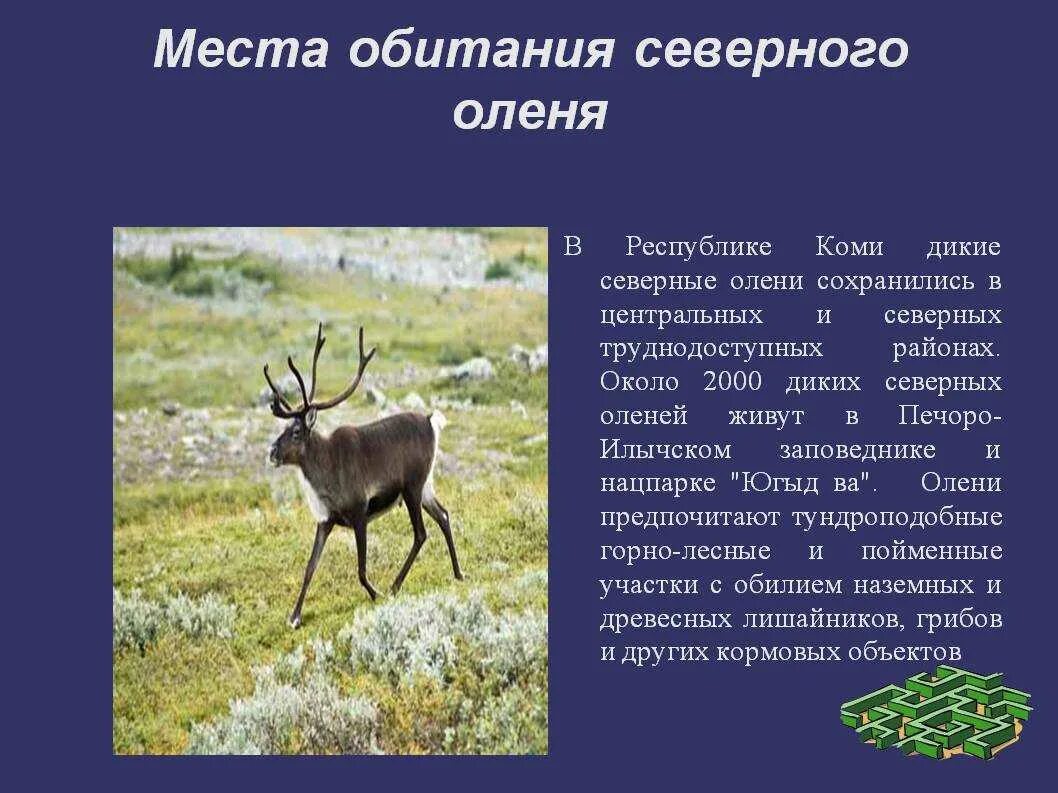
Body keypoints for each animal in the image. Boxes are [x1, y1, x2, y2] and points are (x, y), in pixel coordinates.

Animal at [263, 323, 463, 629]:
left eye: (296, 432)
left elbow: (360, 568)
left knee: (420, 533)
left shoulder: (359, 512)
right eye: (284, 428)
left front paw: (376, 594)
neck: (325, 471)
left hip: (412, 487)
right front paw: (294, 616)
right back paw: (458, 573)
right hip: (426, 487)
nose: (271, 451)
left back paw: (394, 586)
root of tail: (431, 420)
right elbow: (309, 568)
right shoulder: (326, 521)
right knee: (444, 515)